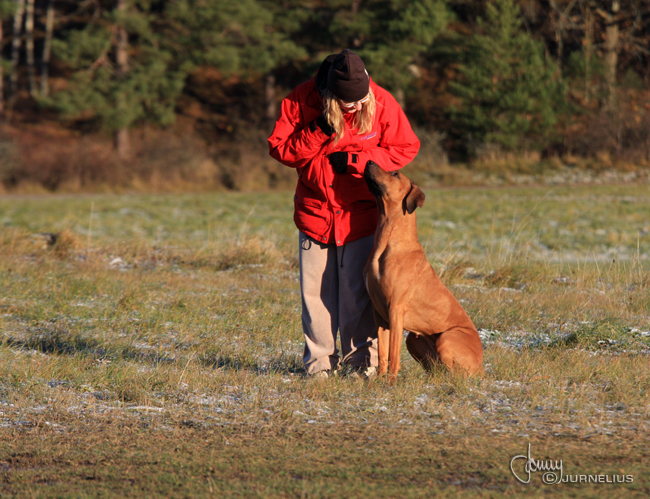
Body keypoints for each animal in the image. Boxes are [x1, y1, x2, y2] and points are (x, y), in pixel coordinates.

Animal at [364, 161, 480, 378]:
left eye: (395, 173)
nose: (368, 161)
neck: (388, 238)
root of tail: (483, 367)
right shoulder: (379, 313)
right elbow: (383, 354)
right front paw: (379, 380)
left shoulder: (395, 309)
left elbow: (393, 355)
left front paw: (390, 382)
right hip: (414, 339)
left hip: (446, 337)